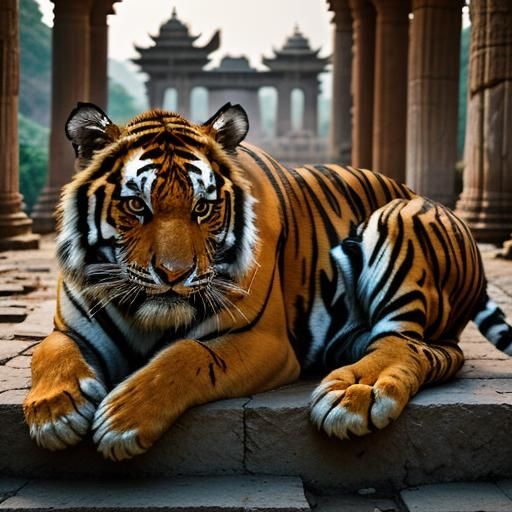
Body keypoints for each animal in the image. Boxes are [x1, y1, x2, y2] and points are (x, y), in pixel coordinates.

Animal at [24, 101, 512, 460]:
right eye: (136, 206)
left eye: (203, 208)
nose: (174, 275)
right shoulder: (73, 330)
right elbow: (50, 351)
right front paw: (54, 411)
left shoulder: (264, 340)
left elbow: (185, 356)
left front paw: (122, 419)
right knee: (434, 351)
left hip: (400, 221)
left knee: (411, 344)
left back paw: (355, 394)